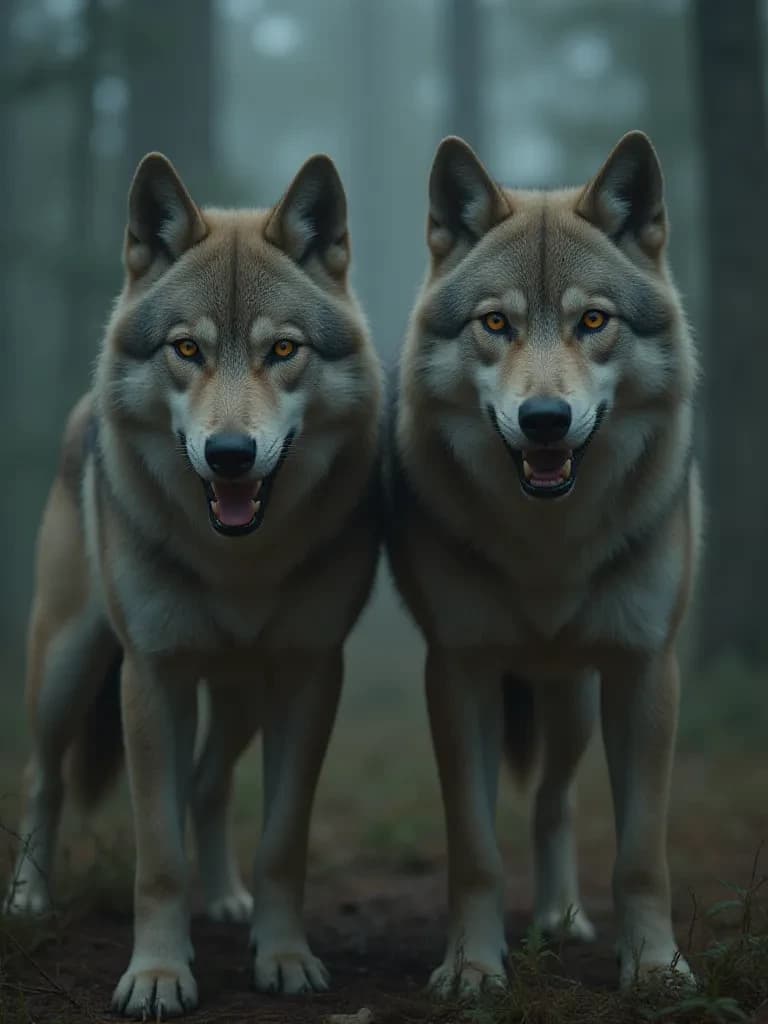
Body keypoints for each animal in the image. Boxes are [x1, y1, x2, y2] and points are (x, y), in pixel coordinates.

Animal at [5, 151, 382, 1017]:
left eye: (282, 351)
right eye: (186, 350)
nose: (231, 454)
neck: (237, 561)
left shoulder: (311, 675)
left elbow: (280, 843)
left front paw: (283, 957)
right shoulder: (152, 676)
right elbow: (157, 852)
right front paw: (156, 974)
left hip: (241, 692)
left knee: (208, 786)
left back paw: (227, 901)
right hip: (68, 667)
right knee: (44, 777)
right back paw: (29, 900)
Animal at [385, 131, 701, 993]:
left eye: (593, 319)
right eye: (496, 322)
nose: (545, 419)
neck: (548, 547)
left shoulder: (646, 669)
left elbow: (642, 857)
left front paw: (655, 966)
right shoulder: (457, 671)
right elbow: (476, 852)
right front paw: (471, 966)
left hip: (574, 703)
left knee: (554, 800)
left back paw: (560, 919)